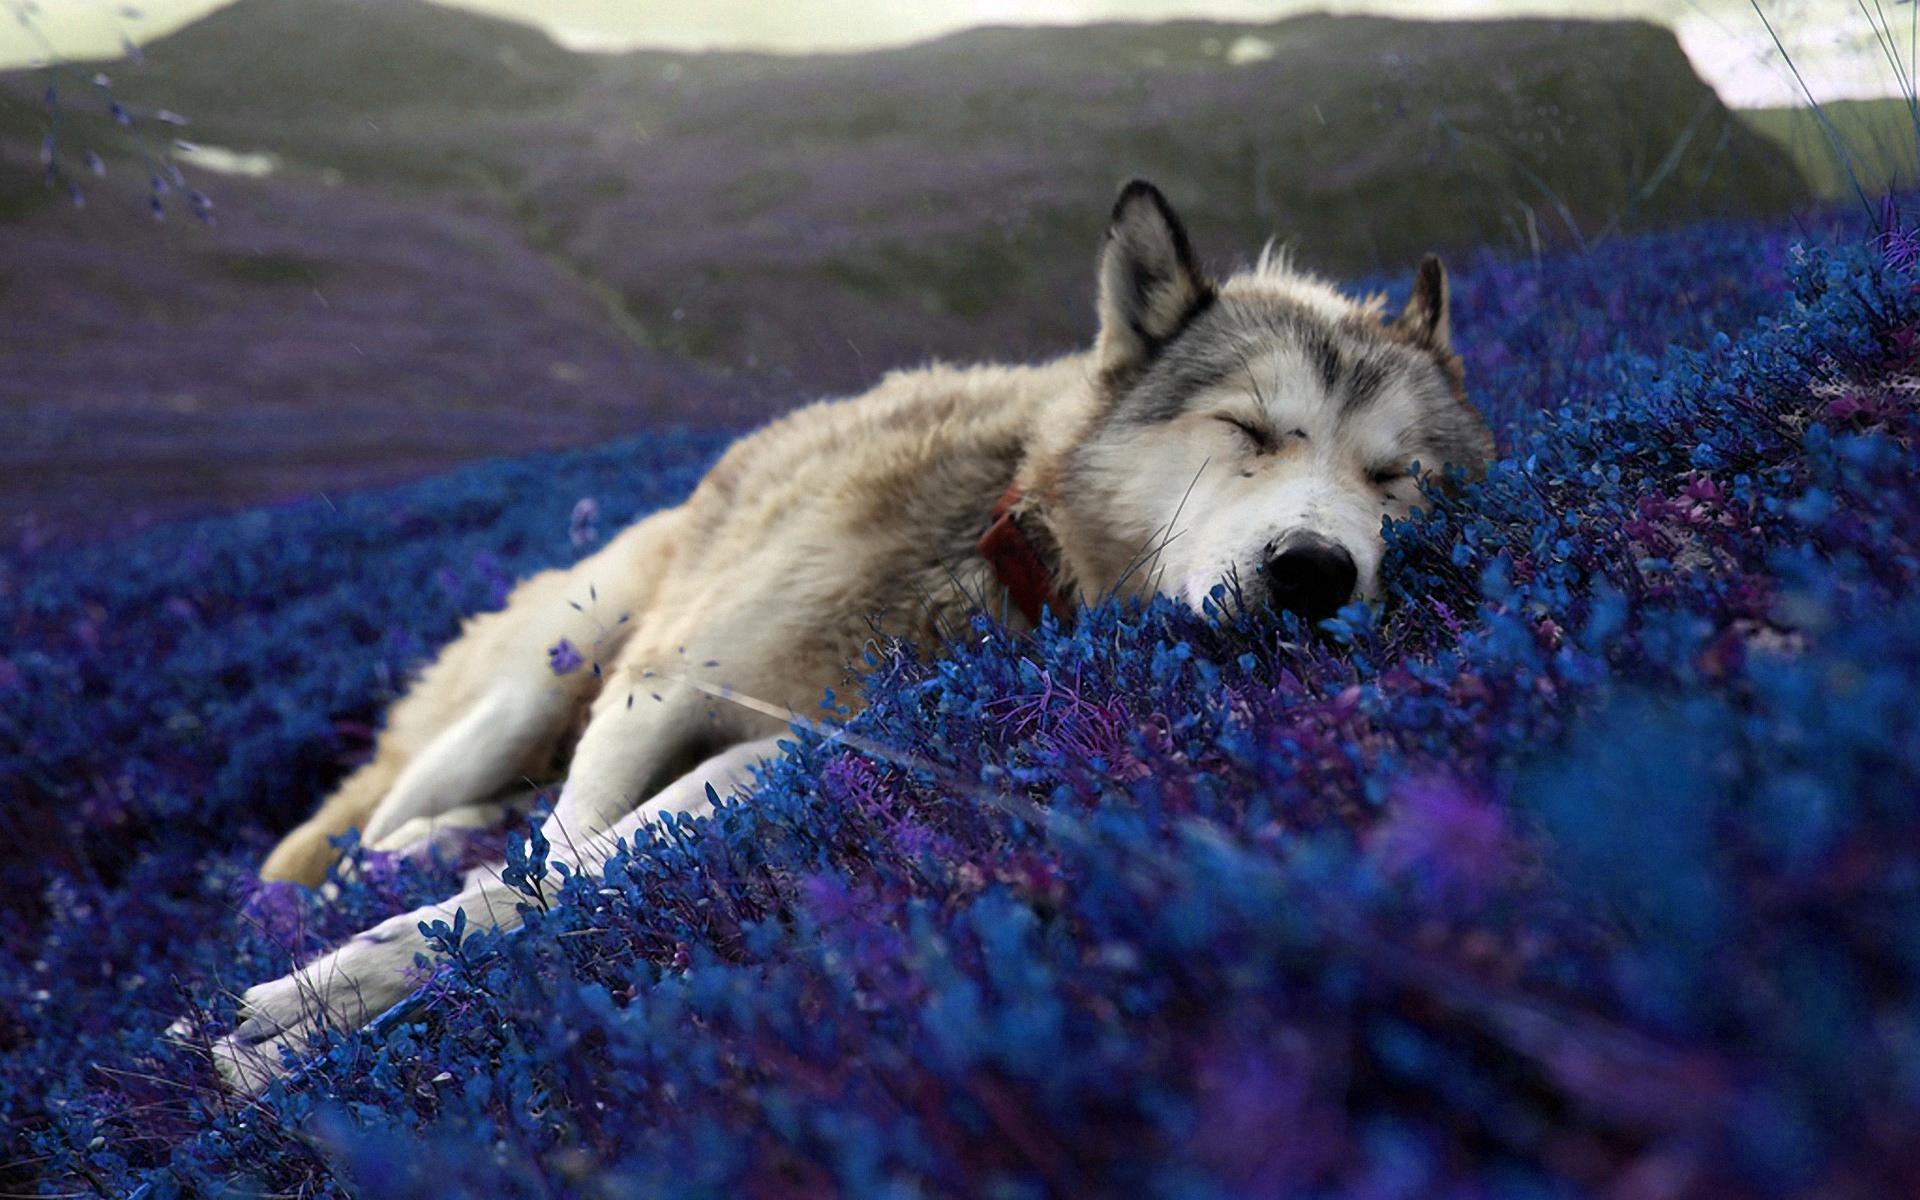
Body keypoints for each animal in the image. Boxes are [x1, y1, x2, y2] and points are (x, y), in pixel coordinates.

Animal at [211, 180, 1493, 1090]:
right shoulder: (659, 687)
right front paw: (313, 1005)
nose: (1317, 572)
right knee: (367, 825)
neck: (994, 548)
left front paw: (316, 1020)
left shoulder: (791, 748)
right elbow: (559, 858)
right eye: (1247, 430)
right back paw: (363, 872)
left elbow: (571, 873)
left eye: (1397, 479)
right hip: (551, 669)